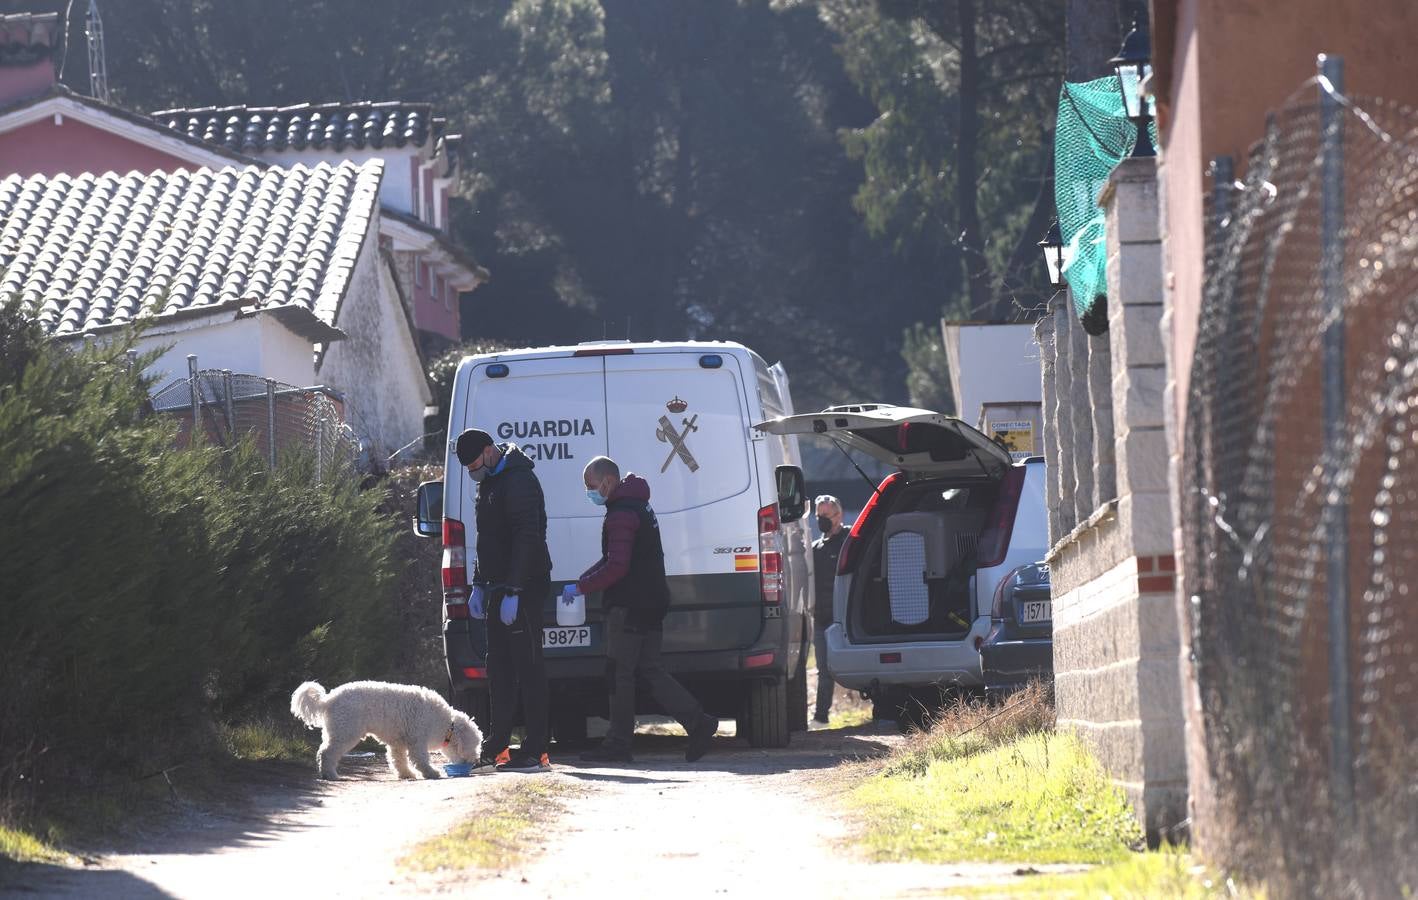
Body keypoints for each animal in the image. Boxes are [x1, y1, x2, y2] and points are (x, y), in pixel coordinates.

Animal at [290, 680, 484, 776]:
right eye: (474, 745)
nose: (475, 760)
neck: (446, 724)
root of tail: (328, 699)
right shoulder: (417, 740)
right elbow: (420, 759)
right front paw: (431, 773)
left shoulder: (398, 743)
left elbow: (398, 760)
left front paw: (406, 774)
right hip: (345, 732)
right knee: (326, 753)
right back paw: (329, 774)